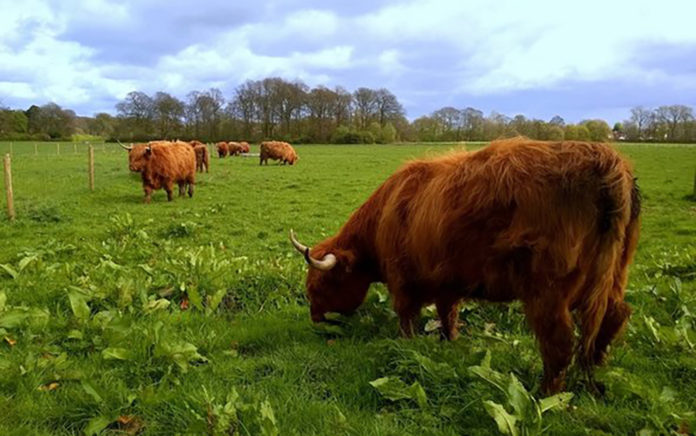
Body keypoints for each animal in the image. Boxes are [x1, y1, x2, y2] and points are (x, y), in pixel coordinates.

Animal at [290, 140, 640, 396]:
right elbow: (448, 313)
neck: (385, 215)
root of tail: (605, 159)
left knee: (559, 342)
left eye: (319, 285)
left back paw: (546, 394)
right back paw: (598, 364)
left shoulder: (402, 278)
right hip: (615, 277)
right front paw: (450, 341)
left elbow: (406, 314)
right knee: (614, 316)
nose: (315, 319)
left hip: (548, 291)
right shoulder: (448, 281)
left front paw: (406, 343)